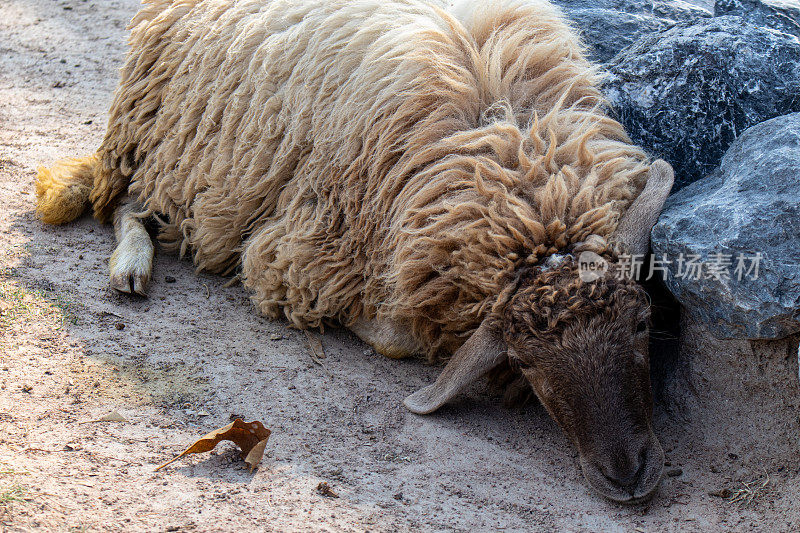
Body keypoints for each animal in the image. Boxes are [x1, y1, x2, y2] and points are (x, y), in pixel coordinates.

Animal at [36, 0, 676, 502]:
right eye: (525, 362)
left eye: (643, 324)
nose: (628, 477)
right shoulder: (295, 255)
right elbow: (395, 338)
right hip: (169, 155)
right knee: (123, 204)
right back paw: (130, 268)